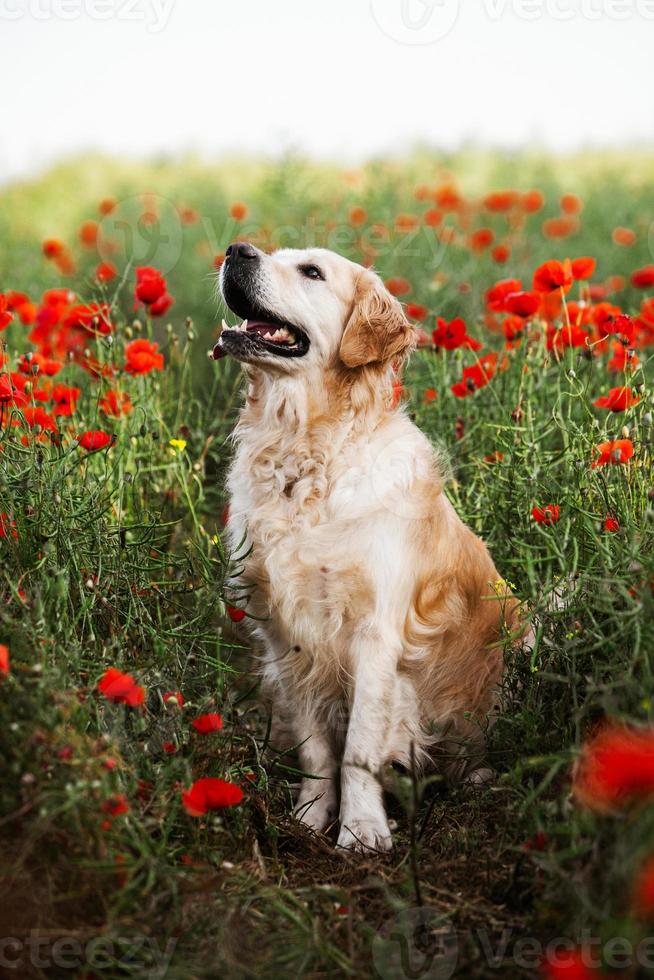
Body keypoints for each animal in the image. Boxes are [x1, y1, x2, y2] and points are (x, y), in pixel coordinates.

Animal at [214, 243, 524, 848]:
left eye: (311, 271)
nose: (236, 250)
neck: (306, 454)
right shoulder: (287, 634)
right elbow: (316, 747)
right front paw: (312, 816)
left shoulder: (376, 633)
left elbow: (358, 748)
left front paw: (361, 831)